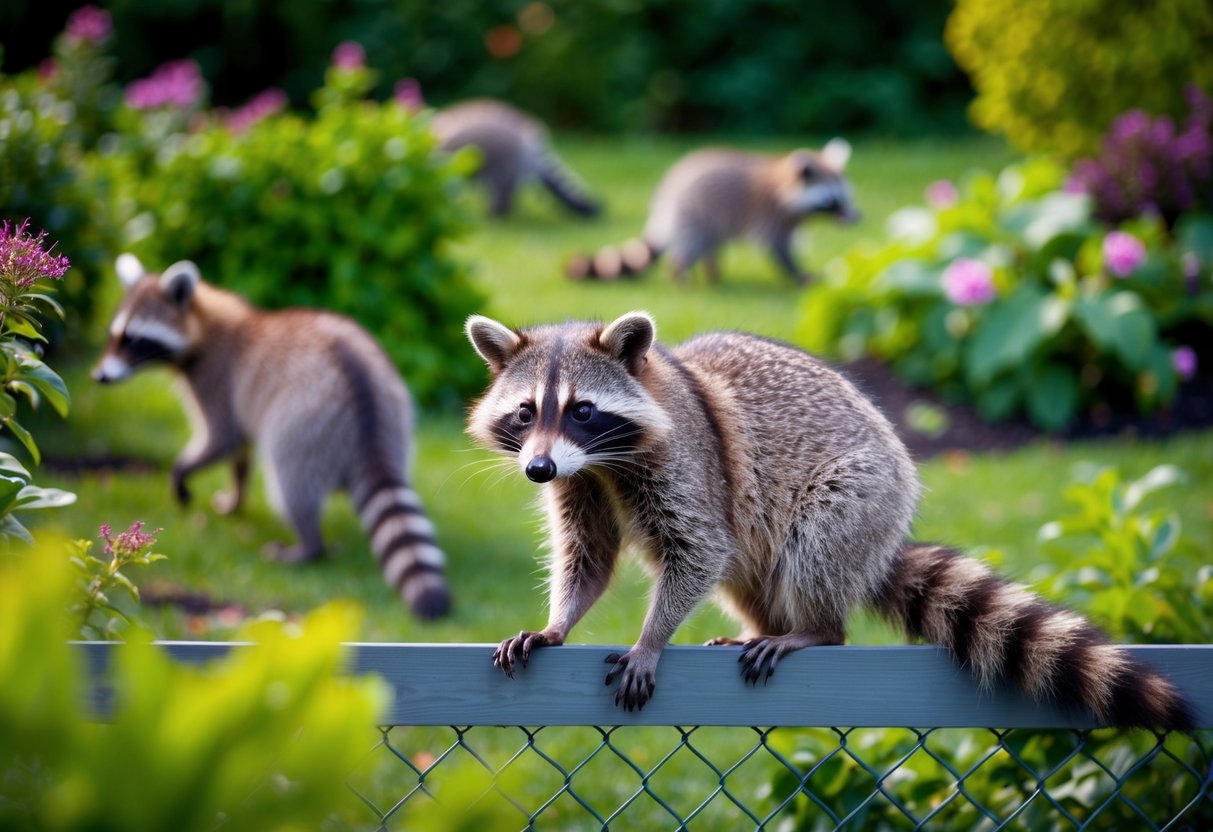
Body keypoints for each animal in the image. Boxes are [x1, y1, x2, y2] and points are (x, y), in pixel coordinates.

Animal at [93, 255, 451, 620]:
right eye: (114, 336)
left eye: (134, 339)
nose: (99, 376)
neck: (205, 323)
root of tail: (365, 406)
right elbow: (239, 453)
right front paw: (236, 497)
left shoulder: (217, 379)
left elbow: (222, 438)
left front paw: (181, 473)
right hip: (397, 410)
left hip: (304, 424)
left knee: (291, 487)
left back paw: (309, 545)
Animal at [464, 311, 1194, 726]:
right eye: (526, 412)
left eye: (582, 410)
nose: (536, 470)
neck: (601, 458)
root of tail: (885, 543)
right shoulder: (580, 481)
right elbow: (588, 554)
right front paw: (558, 622)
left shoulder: (686, 463)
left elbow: (700, 547)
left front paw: (651, 637)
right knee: (745, 571)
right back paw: (765, 623)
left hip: (865, 496)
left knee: (811, 541)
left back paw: (816, 629)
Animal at [567, 141, 858, 285]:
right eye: (832, 200)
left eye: (847, 196)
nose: (855, 218)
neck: (784, 181)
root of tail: (666, 196)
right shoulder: (772, 215)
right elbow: (779, 248)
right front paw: (797, 274)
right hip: (694, 212)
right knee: (694, 245)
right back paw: (680, 273)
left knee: (710, 246)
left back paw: (711, 272)